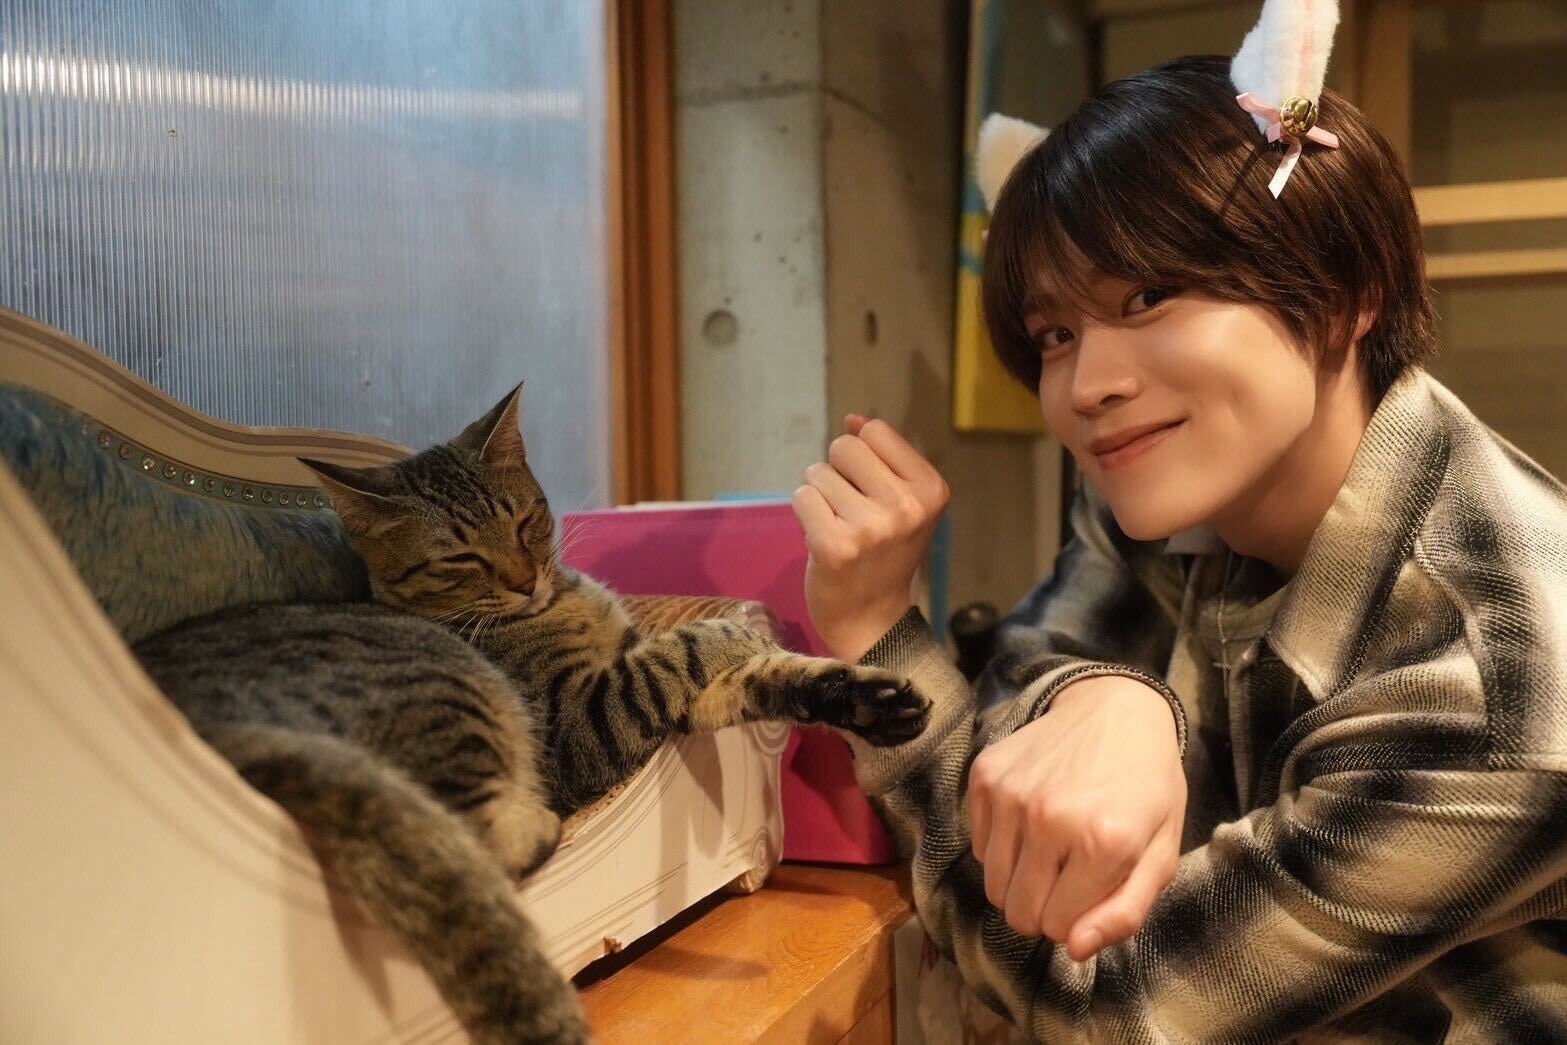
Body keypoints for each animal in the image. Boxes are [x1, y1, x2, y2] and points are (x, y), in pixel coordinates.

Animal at [133, 384, 930, 1045]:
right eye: (458, 558)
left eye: (523, 521)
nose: (523, 579)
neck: (559, 603)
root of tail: (198, 719)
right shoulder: (586, 716)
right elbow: (682, 652)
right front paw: (736, 629)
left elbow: (757, 676)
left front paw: (870, 698)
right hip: (447, 696)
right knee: (480, 842)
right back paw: (542, 828)